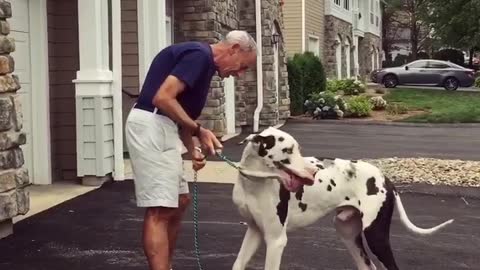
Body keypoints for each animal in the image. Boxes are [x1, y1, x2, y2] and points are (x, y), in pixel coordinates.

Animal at [232, 127, 454, 270]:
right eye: (287, 150)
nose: (313, 173)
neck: (253, 183)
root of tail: (386, 178)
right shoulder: (254, 231)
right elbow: (238, 264)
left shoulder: (276, 240)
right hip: (347, 233)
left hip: (376, 236)